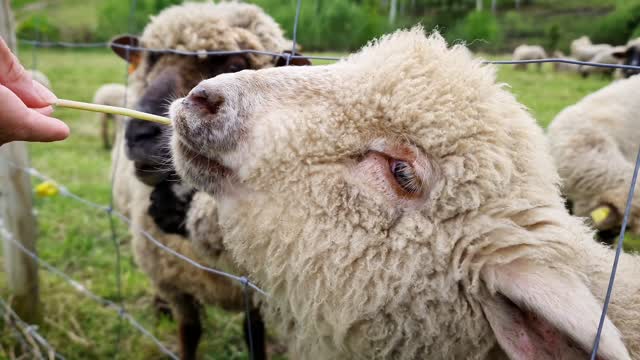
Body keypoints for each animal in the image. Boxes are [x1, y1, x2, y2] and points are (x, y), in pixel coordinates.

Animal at [107, 2, 308, 358]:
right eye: (151, 59)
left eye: (235, 64)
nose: (139, 134)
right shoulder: (177, 284)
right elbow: (189, 332)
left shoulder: (255, 294)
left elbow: (253, 336)